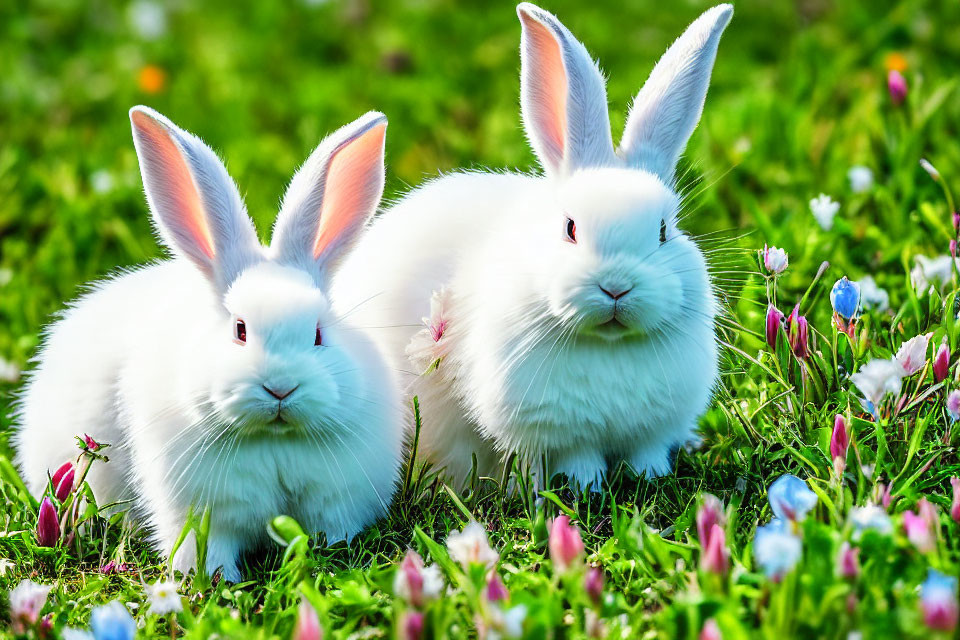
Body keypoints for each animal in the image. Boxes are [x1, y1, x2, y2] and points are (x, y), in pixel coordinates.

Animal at [15, 106, 404, 580]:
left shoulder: (336, 504)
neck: (272, 439)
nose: (280, 388)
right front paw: (212, 581)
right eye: (239, 329)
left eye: (318, 334)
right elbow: (207, 552)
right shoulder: (199, 516)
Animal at [334, 2, 732, 488]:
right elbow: (577, 460)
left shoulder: (650, 433)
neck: (607, 344)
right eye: (570, 228)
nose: (616, 287)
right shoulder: (555, 435)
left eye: (663, 231)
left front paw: (650, 478)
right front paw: (582, 487)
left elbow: (647, 455)